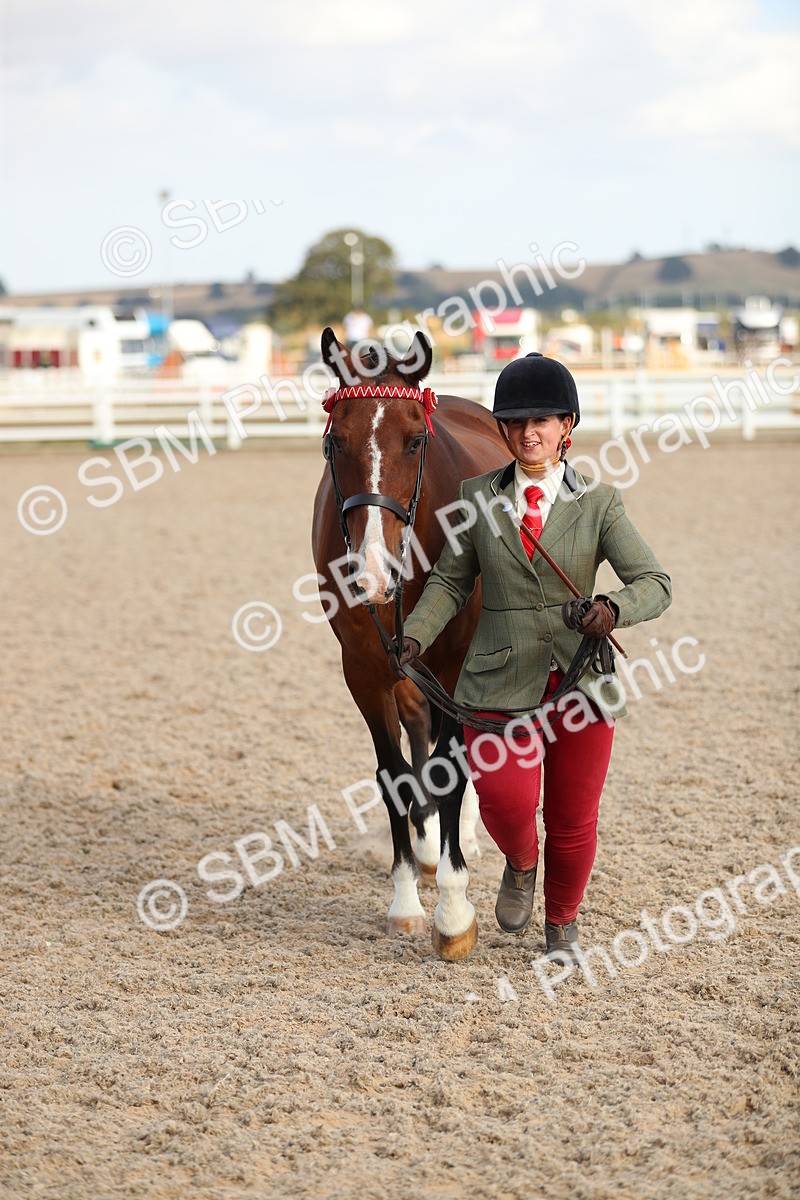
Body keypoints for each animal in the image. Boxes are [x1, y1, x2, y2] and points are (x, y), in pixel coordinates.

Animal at [311, 327, 509, 960]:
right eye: (335, 444)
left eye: (415, 440)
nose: (372, 573)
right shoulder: (365, 669)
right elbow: (394, 775)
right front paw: (406, 902)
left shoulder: (454, 665)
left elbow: (450, 767)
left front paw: (454, 910)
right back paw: (424, 847)